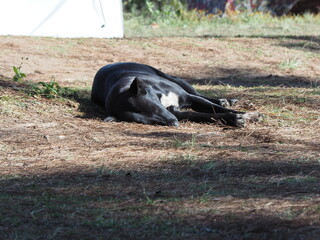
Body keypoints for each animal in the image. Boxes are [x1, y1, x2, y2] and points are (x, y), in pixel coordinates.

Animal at [90, 62, 260, 127]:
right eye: (151, 122)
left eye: (154, 109)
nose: (174, 123)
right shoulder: (175, 112)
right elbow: (202, 115)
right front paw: (235, 119)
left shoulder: (187, 97)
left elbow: (213, 107)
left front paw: (245, 114)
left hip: (175, 79)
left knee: (200, 94)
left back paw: (225, 100)